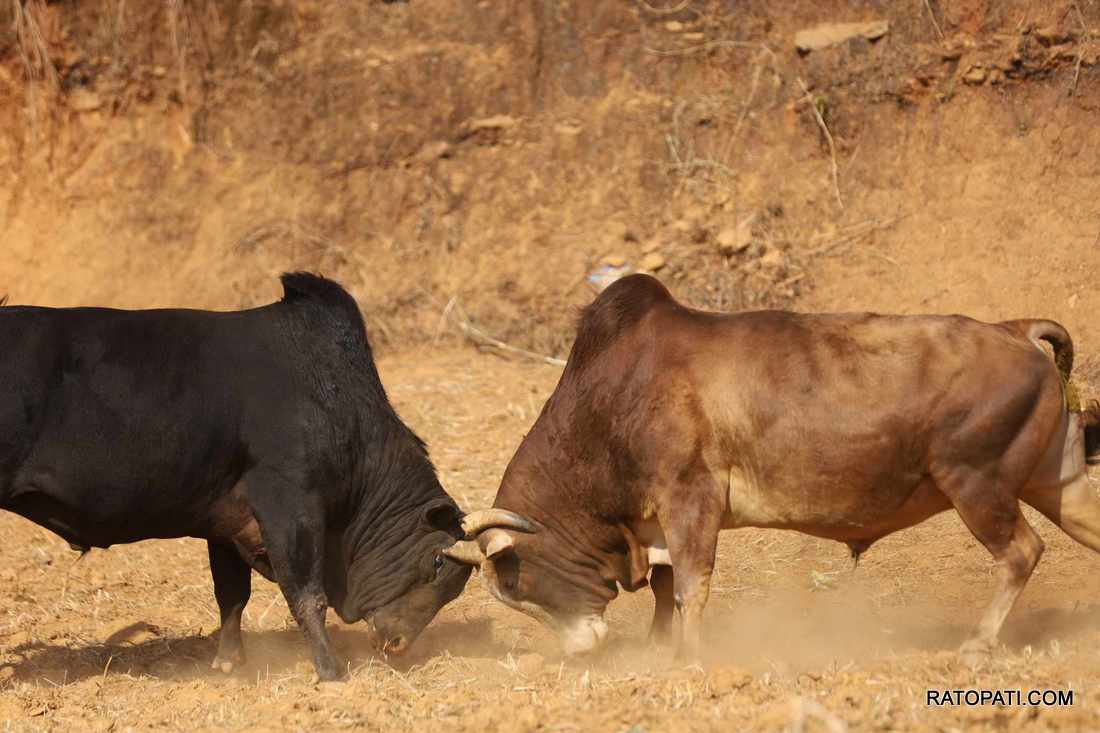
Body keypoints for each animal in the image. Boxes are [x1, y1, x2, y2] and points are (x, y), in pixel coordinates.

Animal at [0, 274, 528, 677]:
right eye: (438, 563)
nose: (397, 644)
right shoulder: (290, 507)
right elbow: (308, 595)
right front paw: (330, 670)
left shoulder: (224, 522)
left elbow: (232, 597)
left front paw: (229, 663)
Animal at [442, 270, 1100, 660]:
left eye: (517, 581)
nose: (581, 648)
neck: (609, 398)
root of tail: (1016, 331)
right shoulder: (660, 521)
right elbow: (664, 588)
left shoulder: (690, 499)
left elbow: (690, 587)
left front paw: (689, 659)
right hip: (1054, 482)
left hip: (977, 484)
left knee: (1021, 553)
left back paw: (977, 644)